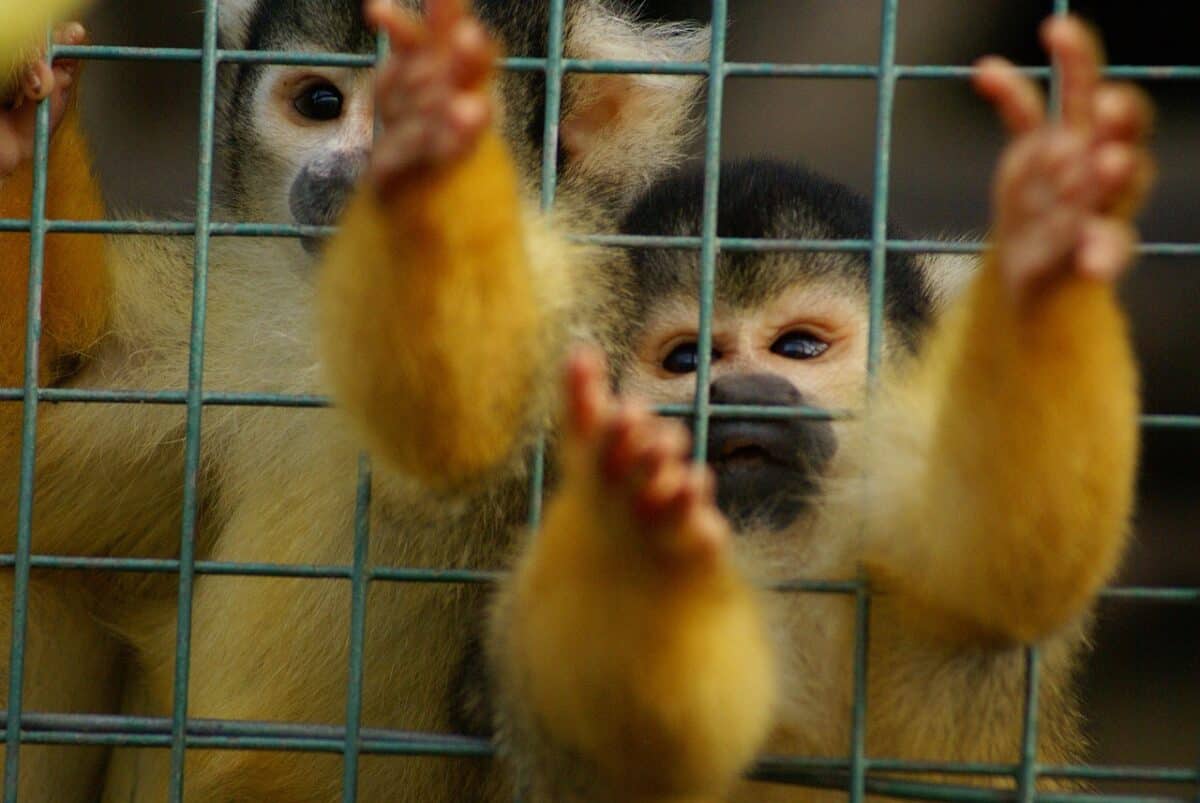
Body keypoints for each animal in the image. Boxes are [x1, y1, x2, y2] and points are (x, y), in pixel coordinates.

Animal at [0, 0, 710, 800]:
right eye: (320, 103)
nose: (352, 174)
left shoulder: (582, 290)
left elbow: (465, 437)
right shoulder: (220, 323)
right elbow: (38, 434)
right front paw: (24, 121)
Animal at [311, 8, 1153, 803]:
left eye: (799, 347)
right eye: (687, 360)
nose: (741, 393)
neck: (784, 548)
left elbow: (1003, 563)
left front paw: (1050, 230)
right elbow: (627, 746)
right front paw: (638, 531)